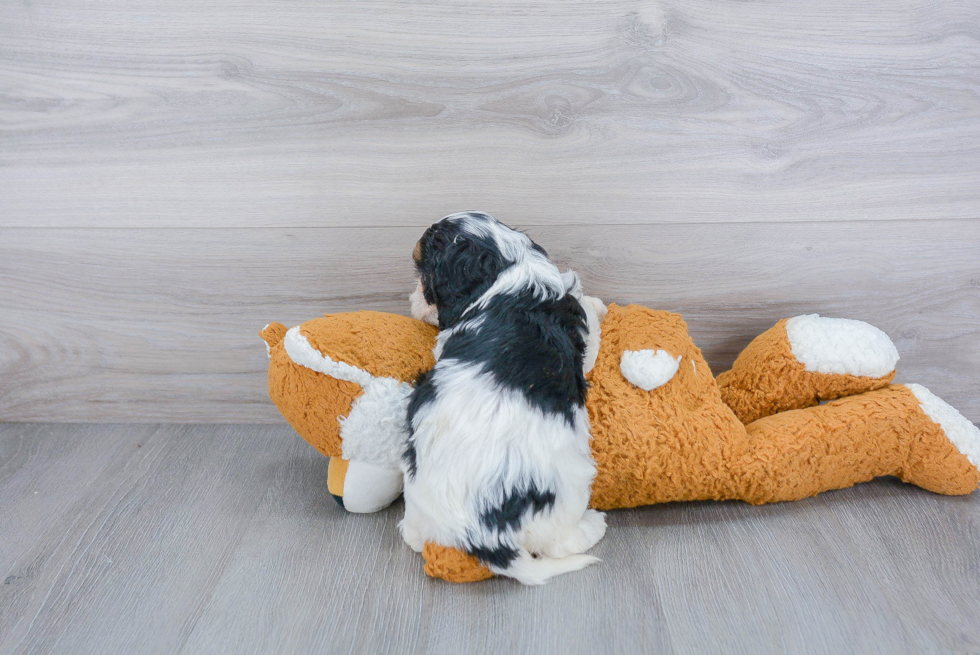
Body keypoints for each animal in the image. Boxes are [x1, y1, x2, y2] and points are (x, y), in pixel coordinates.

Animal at [400, 211, 604, 588]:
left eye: (424, 277)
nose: (413, 300)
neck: (510, 266)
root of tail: (481, 535)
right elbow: (591, 322)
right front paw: (599, 305)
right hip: (573, 483)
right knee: (560, 543)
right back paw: (594, 525)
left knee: (415, 535)